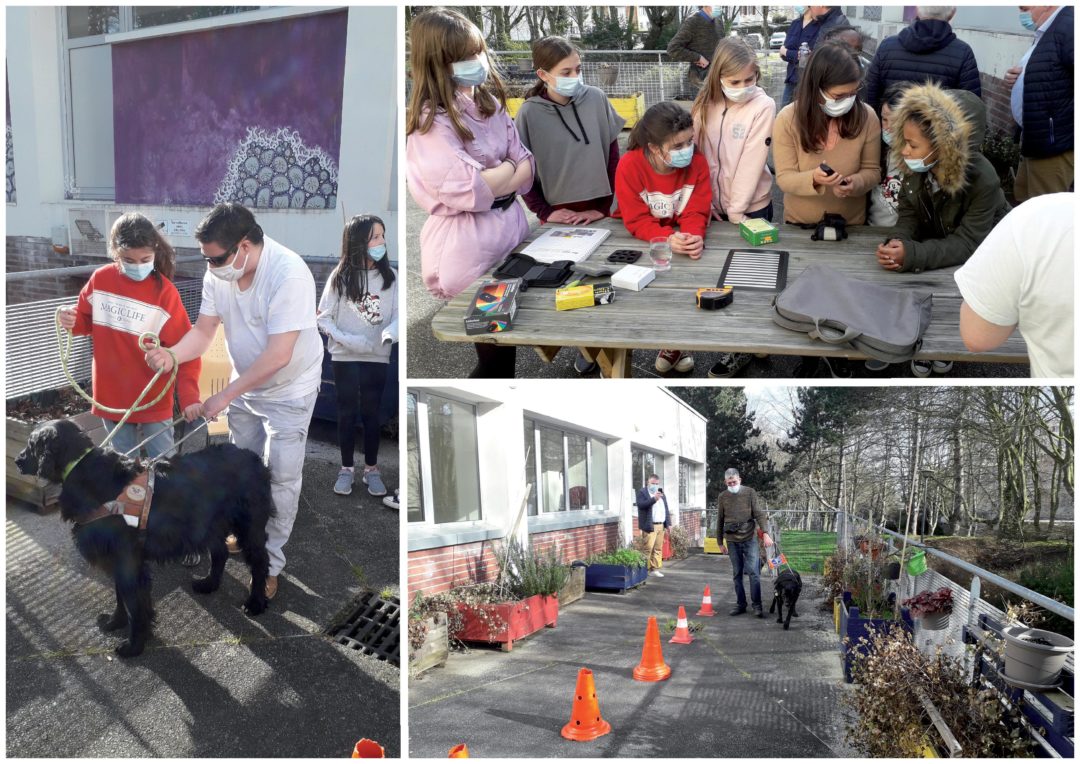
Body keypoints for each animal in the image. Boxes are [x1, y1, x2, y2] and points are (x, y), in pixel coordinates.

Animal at [15, 419, 276, 657]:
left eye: (31, 443)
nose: (17, 460)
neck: (83, 469)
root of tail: (255, 459)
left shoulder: (128, 560)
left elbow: (135, 604)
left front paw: (134, 645)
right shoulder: (117, 558)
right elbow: (121, 596)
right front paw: (115, 622)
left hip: (248, 526)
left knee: (260, 561)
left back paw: (256, 601)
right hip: (209, 524)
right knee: (220, 552)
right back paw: (209, 583)